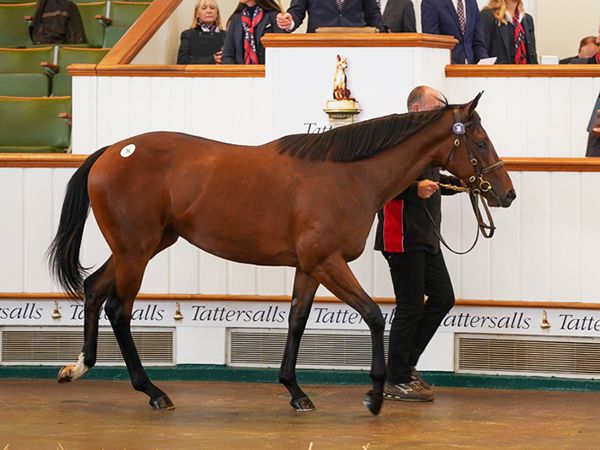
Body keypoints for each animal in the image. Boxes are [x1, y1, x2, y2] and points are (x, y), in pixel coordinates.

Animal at [48, 93, 516, 416]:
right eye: (480, 141)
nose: (506, 193)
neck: (349, 174)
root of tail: (112, 151)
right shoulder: (329, 262)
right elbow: (373, 315)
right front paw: (374, 395)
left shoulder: (309, 267)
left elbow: (297, 320)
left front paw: (295, 391)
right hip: (136, 250)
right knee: (119, 310)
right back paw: (153, 392)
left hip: (142, 246)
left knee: (94, 289)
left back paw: (79, 367)